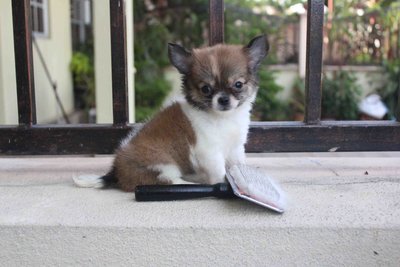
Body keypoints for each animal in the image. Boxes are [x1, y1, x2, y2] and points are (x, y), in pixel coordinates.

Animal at [74, 35, 268, 192]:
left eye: (238, 84)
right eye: (205, 89)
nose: (223, 99)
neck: (223, 118)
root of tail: (116, 171)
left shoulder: (235, 148)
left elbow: (238, 165)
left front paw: (245, 178)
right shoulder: (210, 153)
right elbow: (219, 173)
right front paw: (224, 184)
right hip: (163, 166)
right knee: (170, 181)